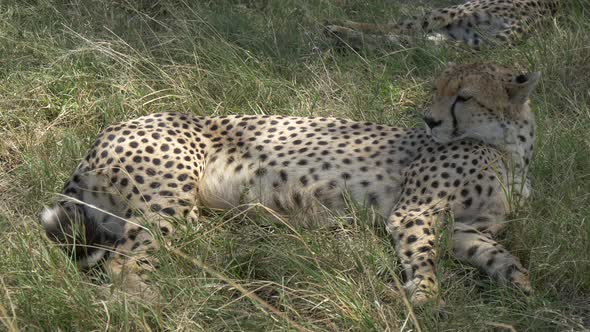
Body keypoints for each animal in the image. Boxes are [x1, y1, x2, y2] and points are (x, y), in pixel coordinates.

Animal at [40, 63, 540, 306]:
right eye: (439, 90)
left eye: (464, 96)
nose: (429, 120)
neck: (508, 150)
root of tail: (110, 127)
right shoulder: (413, 211)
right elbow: (423, 256)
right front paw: (426, 296)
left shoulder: (466, 230)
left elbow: (501, 257)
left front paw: (525, 289)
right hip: (168, 204)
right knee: (122, 264)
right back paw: (156, 301)